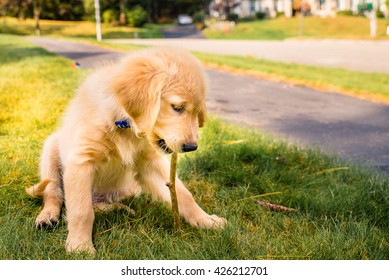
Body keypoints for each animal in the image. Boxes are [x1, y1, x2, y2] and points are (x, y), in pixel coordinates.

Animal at [26, 46, 224, 254]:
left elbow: (183, 194)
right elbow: (81, 210)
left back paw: (120, 208)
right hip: (51, 149)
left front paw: (205, 220)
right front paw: (80, 247)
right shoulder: (80, 161)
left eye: (197, 112)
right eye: (177, 107)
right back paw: (47, 216)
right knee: (54, 194)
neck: (125, 125)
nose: (192, 147)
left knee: (96, 205)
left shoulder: (149, 162)